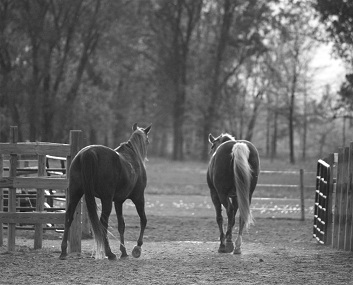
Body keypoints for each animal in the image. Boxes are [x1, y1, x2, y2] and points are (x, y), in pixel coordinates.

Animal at [58, 122, 151, 260]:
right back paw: (109, 253)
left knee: (69, 216)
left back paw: (63, 251)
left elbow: (121, 225)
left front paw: (124, 251)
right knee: (103, 222)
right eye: (148, 141)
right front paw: (137, 248)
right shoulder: (139, 198)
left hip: (75, 194)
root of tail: (88, 153)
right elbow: (143, 220)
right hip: (106, 199)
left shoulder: (118, 201)